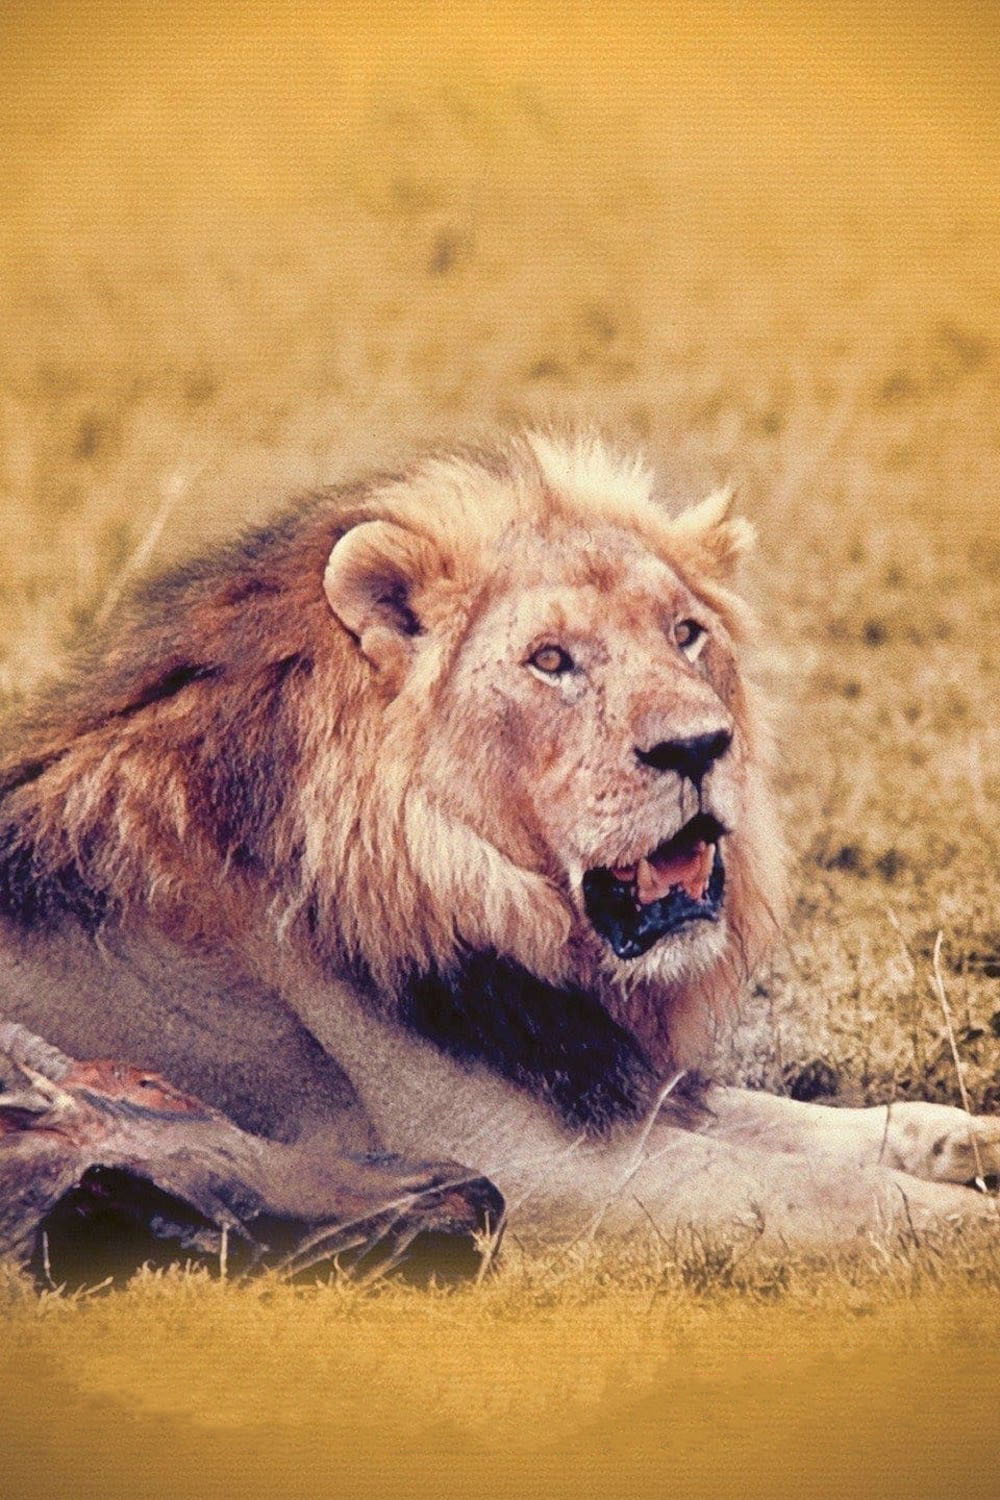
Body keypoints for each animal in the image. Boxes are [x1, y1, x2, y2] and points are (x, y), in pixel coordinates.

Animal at [1, 431, 998, 1254]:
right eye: (550, 660)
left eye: (686, 634)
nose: (697, 746)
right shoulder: (537, 1165)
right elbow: (833, 1189)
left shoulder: (611, 1085)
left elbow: (814, 1123)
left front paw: (968, 1135)